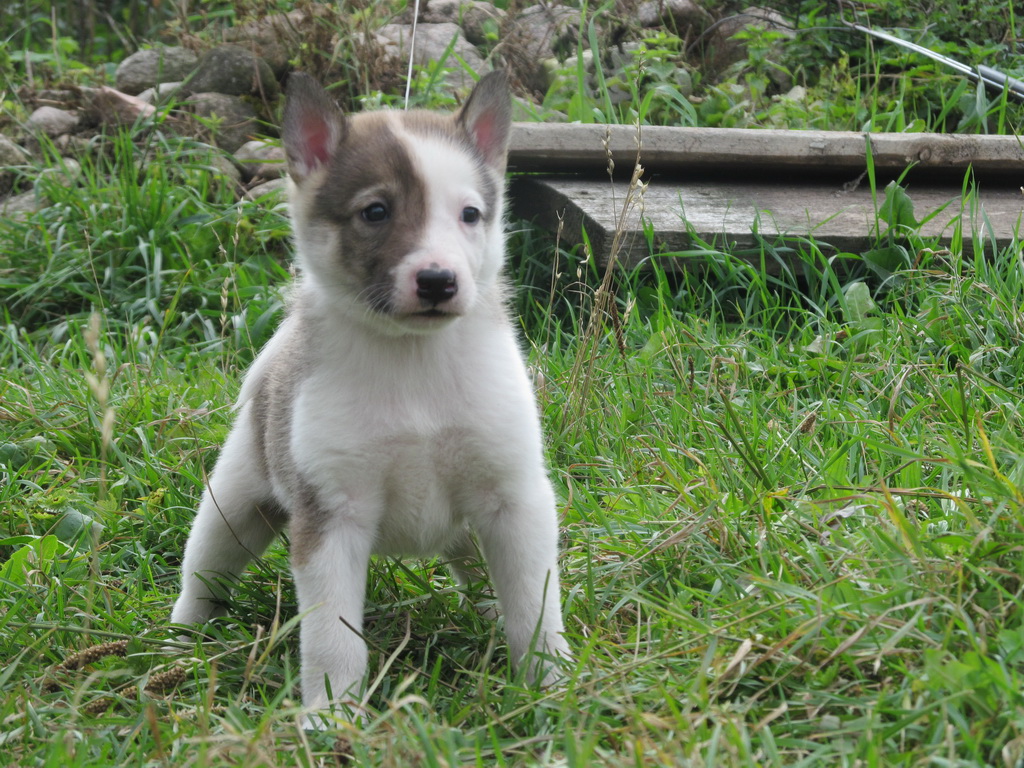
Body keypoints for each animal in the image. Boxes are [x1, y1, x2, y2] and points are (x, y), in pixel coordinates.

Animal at [170, 70, 571, 726]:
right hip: (231, 509)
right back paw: (176, 648)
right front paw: (331, 719)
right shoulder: (332, 519)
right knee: (201, 579)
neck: (412, 361)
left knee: (487, 582)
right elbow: (332, 637)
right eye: (375, 212)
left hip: (469, 532)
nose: (438, 282)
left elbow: (534, 609)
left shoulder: (515, 502)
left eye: (470, 214)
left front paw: (553, 689)